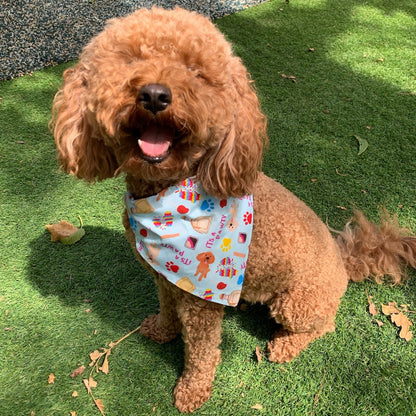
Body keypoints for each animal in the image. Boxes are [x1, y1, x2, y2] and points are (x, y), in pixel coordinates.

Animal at [52, 6, 416, 412]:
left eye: (195, 70)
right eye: (130, 59)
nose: (155, 94)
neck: (170, 192)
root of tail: (343, 260)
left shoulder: (200, 301)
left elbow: (201, 352)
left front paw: (192, 391)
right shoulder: (166, 278)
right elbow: (166, 308)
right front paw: (162, 330)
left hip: (298, 302)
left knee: (322, 326)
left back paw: (285, 345)